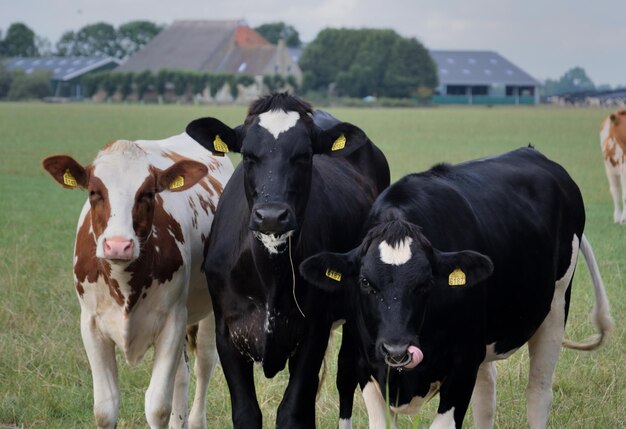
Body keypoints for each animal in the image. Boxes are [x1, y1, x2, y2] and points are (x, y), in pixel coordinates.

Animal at [42, 134, 234, 428]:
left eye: (148, 193)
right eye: (94, 192)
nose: (118, 245)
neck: (124, 282)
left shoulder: (172, 322)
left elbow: (157, 407)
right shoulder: (91, 325)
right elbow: (105, 409)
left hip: (208, 313)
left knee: (204, 364)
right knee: (181, 375)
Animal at [185, 94, 390, 428]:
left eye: (303, 155)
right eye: (248, 155)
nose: (271, 216)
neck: (270, 277)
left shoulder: (313, 332)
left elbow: (292, 411)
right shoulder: (227, 334)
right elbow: (247, 413)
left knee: (346, 375)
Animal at [300, 147, 612, 428]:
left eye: (426, 283)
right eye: (365, 282)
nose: (396, 349)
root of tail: (534, 153)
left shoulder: (463, 365)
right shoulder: (366, 367)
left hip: (556, 304)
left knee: (539, 391)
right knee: (487, 394)